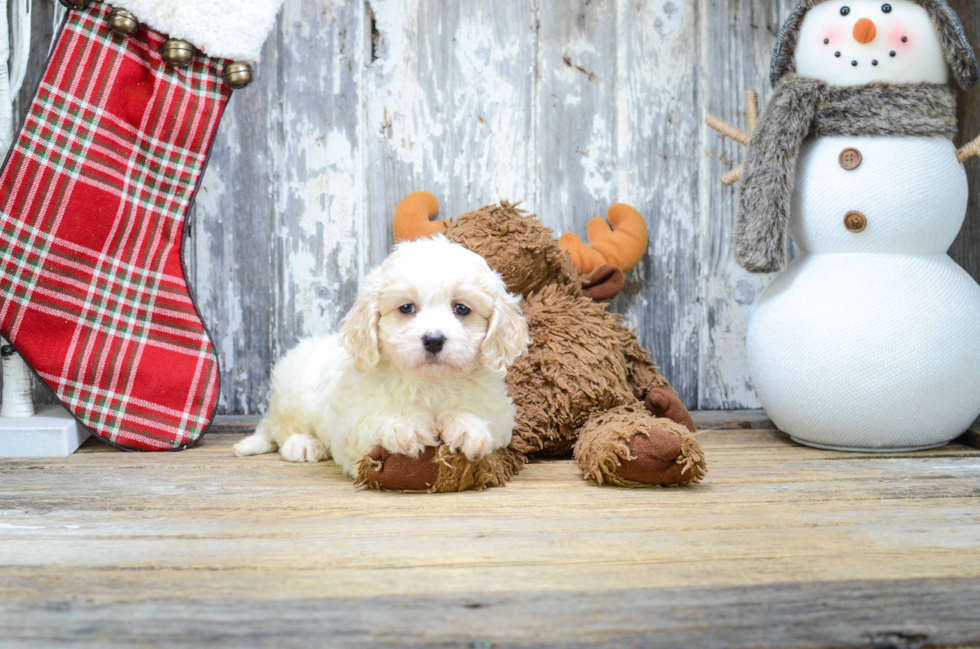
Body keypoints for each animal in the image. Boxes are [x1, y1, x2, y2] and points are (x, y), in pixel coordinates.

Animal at [234, 237, 532, 476]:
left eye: (461, 308)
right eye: (406, 308)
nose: (433, 340)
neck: (430, 383)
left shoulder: (501, 413)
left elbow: (480, 416)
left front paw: (467, 426)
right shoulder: (349, 422)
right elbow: (372, 419)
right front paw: (406, 424)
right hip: (294, 397)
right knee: (282, 429)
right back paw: (303, 444)